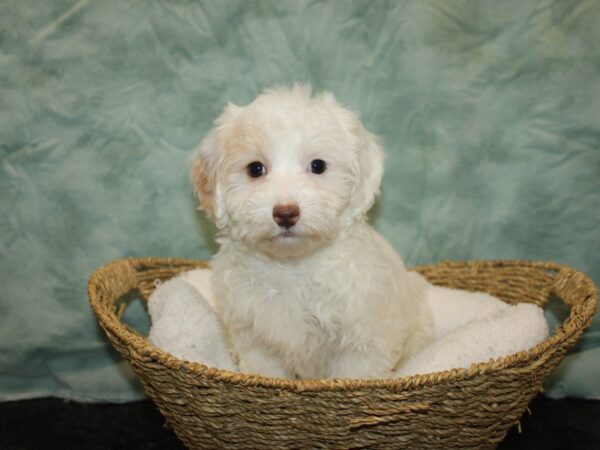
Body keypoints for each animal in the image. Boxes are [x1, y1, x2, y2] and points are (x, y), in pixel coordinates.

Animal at [191, 85, 432, 380]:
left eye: (318, 166)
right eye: (255, 169)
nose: (285, 213)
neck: (293, 265)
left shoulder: (361, 342)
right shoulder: (256, 340)